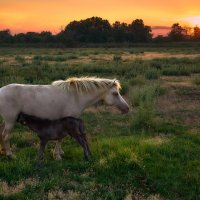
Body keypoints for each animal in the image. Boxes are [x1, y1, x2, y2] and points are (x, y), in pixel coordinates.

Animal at [0, 77, 130, 159]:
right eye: (115, 93)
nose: (127, 108)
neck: (76, 96)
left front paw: (59, 153)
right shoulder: (67, 122)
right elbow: (60, 138)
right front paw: (57, 155)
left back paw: (3, 151)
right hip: (10, 121)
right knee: (6, 136)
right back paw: (10, 155)